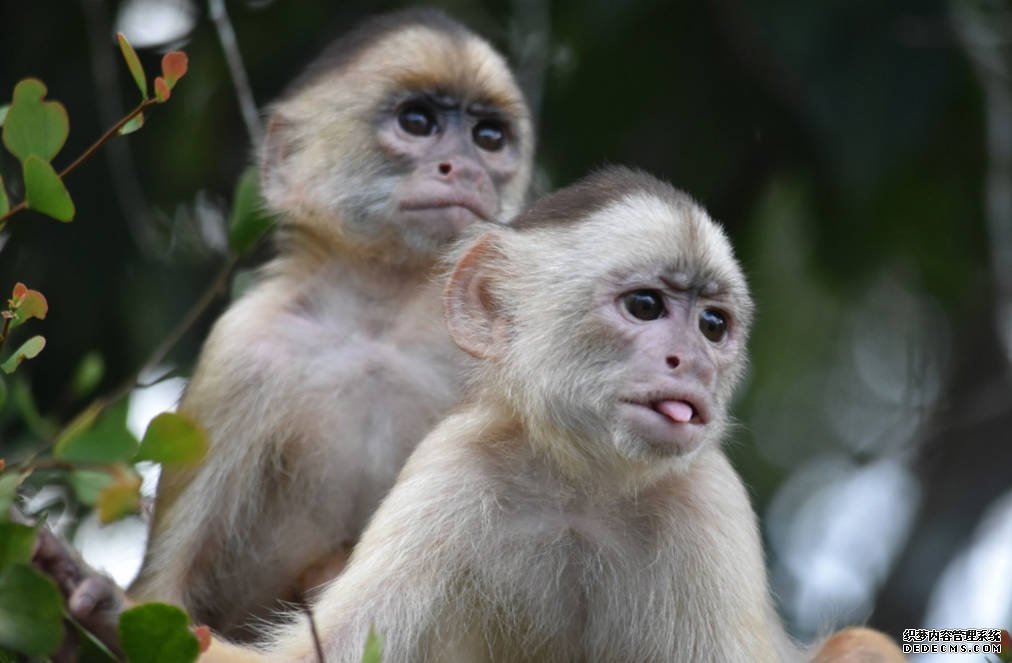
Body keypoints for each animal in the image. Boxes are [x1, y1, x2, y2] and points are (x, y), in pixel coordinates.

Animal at [127, 5, 534, 639]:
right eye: (417, 122)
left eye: (489, 138)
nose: (464, 167)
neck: (376, 326)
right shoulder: (239, 349)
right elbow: (162, 593)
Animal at [186, 167, 906, 663]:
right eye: (645, 305)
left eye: (712, 324)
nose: (694, 364)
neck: (582, 487)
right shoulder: (451, 470)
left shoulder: (708, 503)